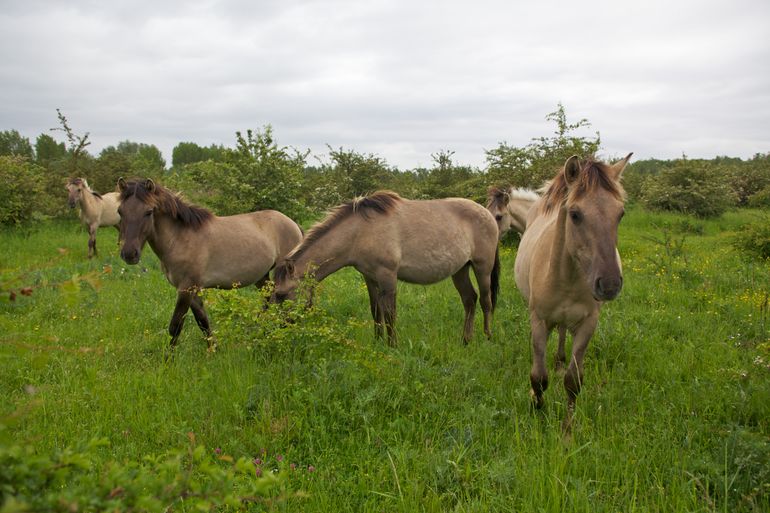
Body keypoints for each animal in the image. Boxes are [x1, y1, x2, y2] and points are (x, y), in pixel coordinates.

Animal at [117, 176, 304, 348]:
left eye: (148, 212)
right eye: (120, 211)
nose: (129, 254)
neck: (180, 238)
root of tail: (293, 224)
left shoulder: (186, 288)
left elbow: (175, 326)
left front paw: (168, 359)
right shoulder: (192, 290)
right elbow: (202, 320)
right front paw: (212, 349)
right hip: (261, 276)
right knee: (268, 298)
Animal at [270, 190, 498, 346]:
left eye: (281, 295)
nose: (281, 328)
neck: (360, 232)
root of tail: (488, 214)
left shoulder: (387, 276)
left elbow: (390, 314)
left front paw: (392, 345)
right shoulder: (370, 277)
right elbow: (375, 310)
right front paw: (377, 341)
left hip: (482, 267)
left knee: (486, 301)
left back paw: (487, 337)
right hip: (460, 270)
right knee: (470, 300)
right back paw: (465, 340)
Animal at [516, 153, 632, 432]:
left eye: (620, 214)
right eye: (575, 214)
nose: (609, 284)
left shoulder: (588, 324)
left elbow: (573, 380)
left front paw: (567, 430)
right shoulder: (539, 320)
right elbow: (538, 376)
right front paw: (537, 407)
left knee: (560, 334)